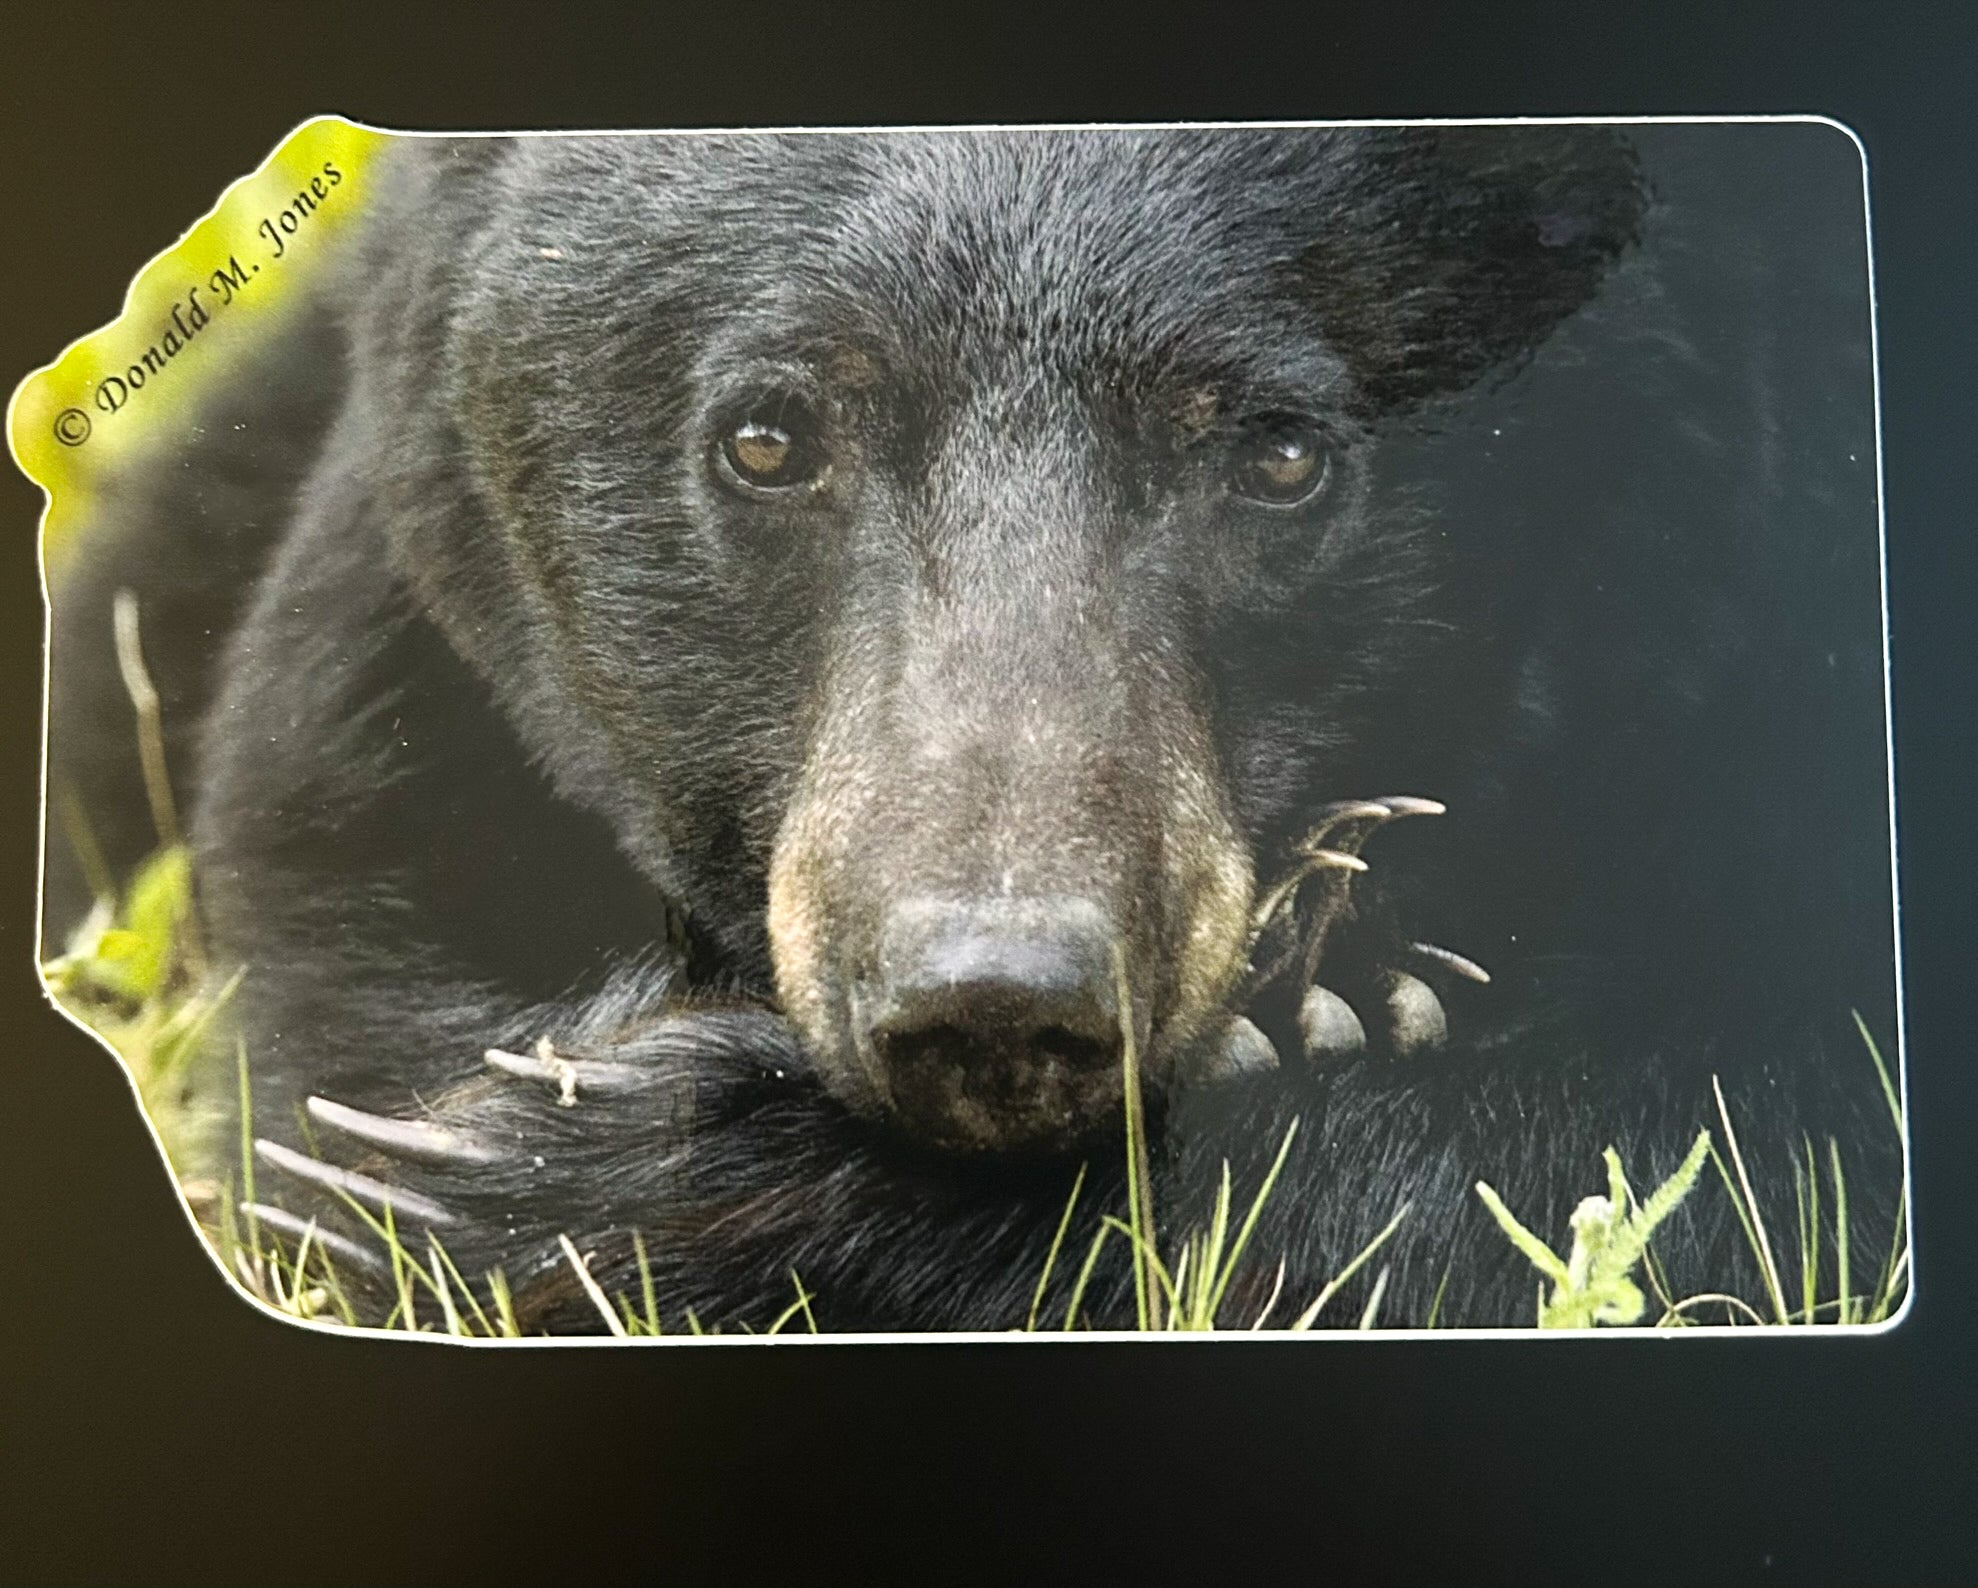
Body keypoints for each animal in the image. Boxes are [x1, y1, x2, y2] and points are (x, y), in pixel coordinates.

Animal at [42, 121, 1903, 1333]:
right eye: (769, 435)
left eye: (1278, 451)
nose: (994, 1000)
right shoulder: (403, 694)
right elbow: (347, 960)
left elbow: (1770, 1131)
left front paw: (582, 1165)